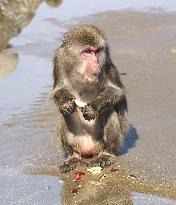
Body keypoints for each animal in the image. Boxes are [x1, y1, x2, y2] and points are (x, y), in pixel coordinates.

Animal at [51, 24, 128, 173]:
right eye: (87, 52)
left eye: (97, 51)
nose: (96, 64)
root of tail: (89, 150)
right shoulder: (59, 61)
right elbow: (58, 90)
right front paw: (65, 104)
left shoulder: (106, 63)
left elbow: (117, 92)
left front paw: (93, 108)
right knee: (64, 115)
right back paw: (74, 156)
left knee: (109, 111)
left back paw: (106, 154)